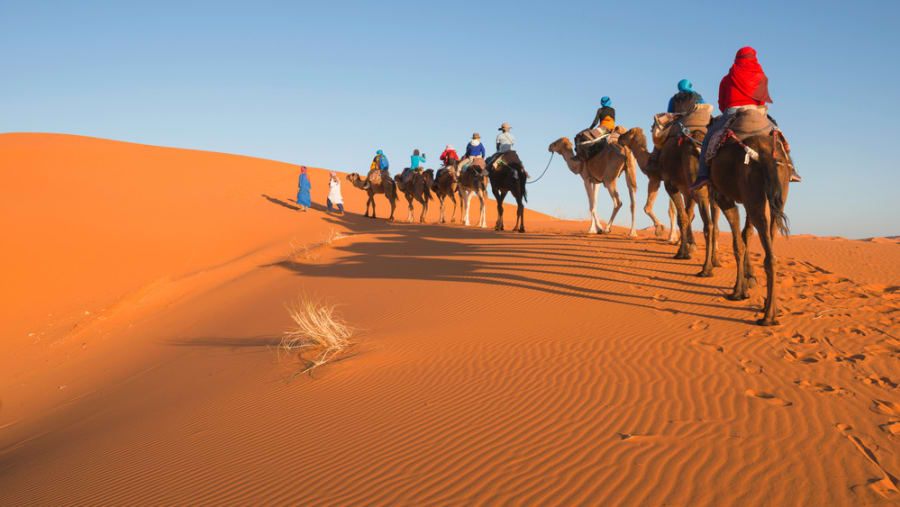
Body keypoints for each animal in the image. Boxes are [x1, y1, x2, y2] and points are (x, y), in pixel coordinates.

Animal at [618, 127, 721, 277]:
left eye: (627, 133)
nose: (619, 137)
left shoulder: (665, 182)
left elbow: (678, 216)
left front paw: (679, 250)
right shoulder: (686, 190)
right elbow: (687, 215)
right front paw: (688, 246)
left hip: (698, 185)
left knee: (708, 224)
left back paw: (706, 269)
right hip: (713, 190)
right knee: (715, 224)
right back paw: (715, 261)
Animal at [709, 130, 791, 326]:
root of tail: (766, 153)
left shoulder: (723, 197)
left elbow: (738, 244)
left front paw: (738, 292)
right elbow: (745, 236)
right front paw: (745, 286)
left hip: (751, 194)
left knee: (767, 254)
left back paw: (768, 317)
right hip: (777, 195)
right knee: (771, 247)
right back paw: (771, 309)